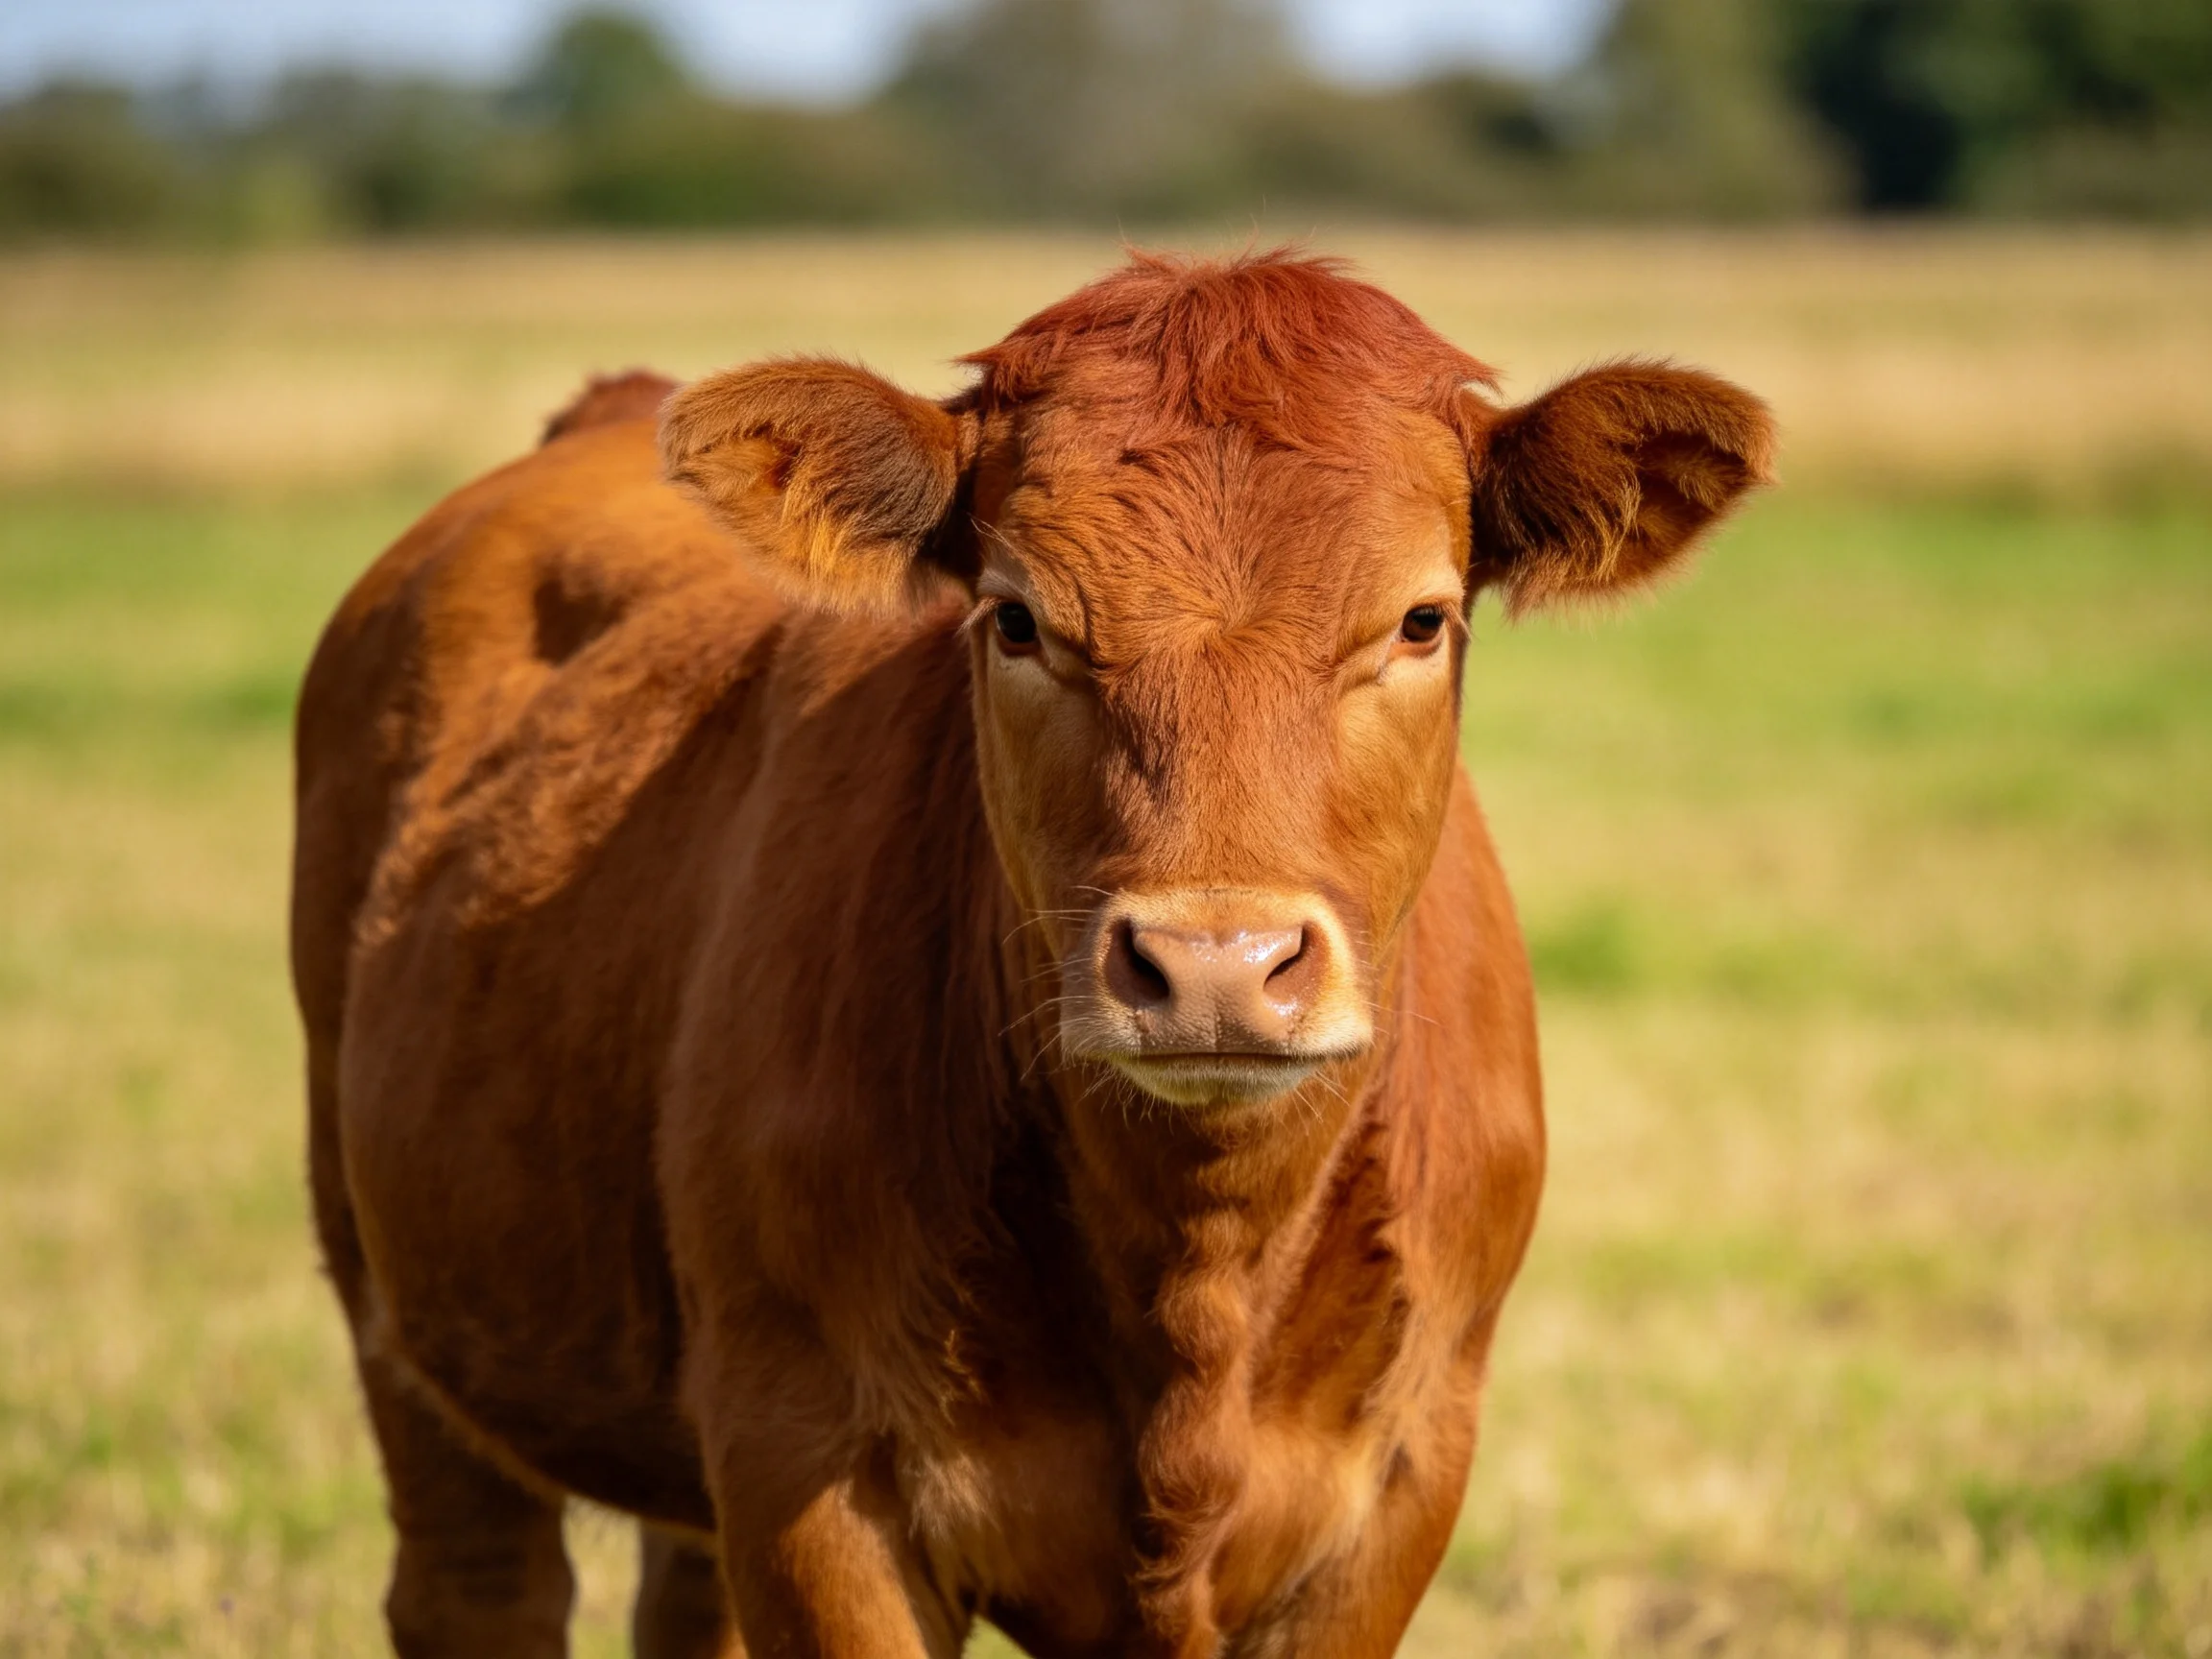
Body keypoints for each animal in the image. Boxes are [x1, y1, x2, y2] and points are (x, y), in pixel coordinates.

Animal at [290, 249, 1772, 1658]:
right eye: (1016, 619)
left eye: (1420, 620)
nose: (1217, 964)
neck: (1195, 1273)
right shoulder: (807, 1460)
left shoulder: (1403, 1477)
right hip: (391, 1295)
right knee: (478, 1592)